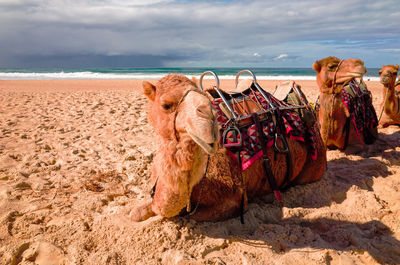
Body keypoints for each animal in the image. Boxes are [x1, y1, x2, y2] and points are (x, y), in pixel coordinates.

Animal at [130, 73, 326, 221]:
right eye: (166, 105)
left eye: (202, 96)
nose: (208, 116)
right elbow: (136, 212)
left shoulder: (234, 198)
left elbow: (191, 216)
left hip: (314, 165)